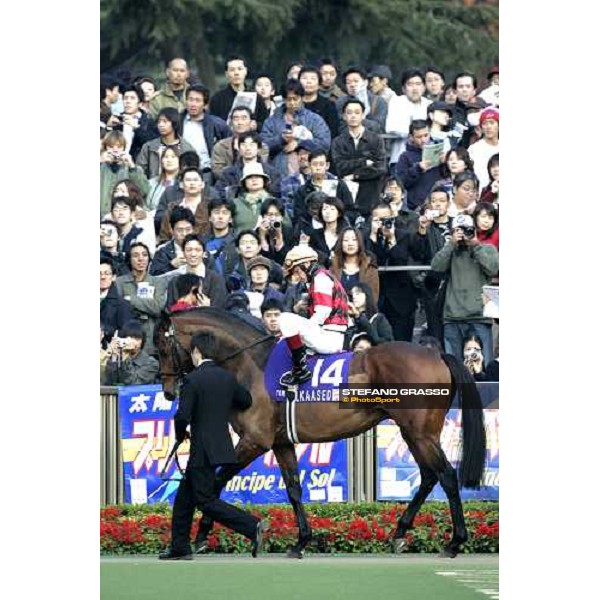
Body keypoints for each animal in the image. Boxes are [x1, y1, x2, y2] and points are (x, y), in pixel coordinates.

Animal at [152, 310, 486, 556]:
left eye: (161, 347)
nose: (168, 391)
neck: (249, 364)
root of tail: (437, 355)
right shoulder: (281, 443)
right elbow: (293, 489)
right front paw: (301, 541)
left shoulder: (254, 441)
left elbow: (217, 482)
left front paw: (202, 535)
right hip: (411, 432)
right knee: (429, 477)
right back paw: (401, 532)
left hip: (420, 433)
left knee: (446, 476)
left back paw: (455, 541)